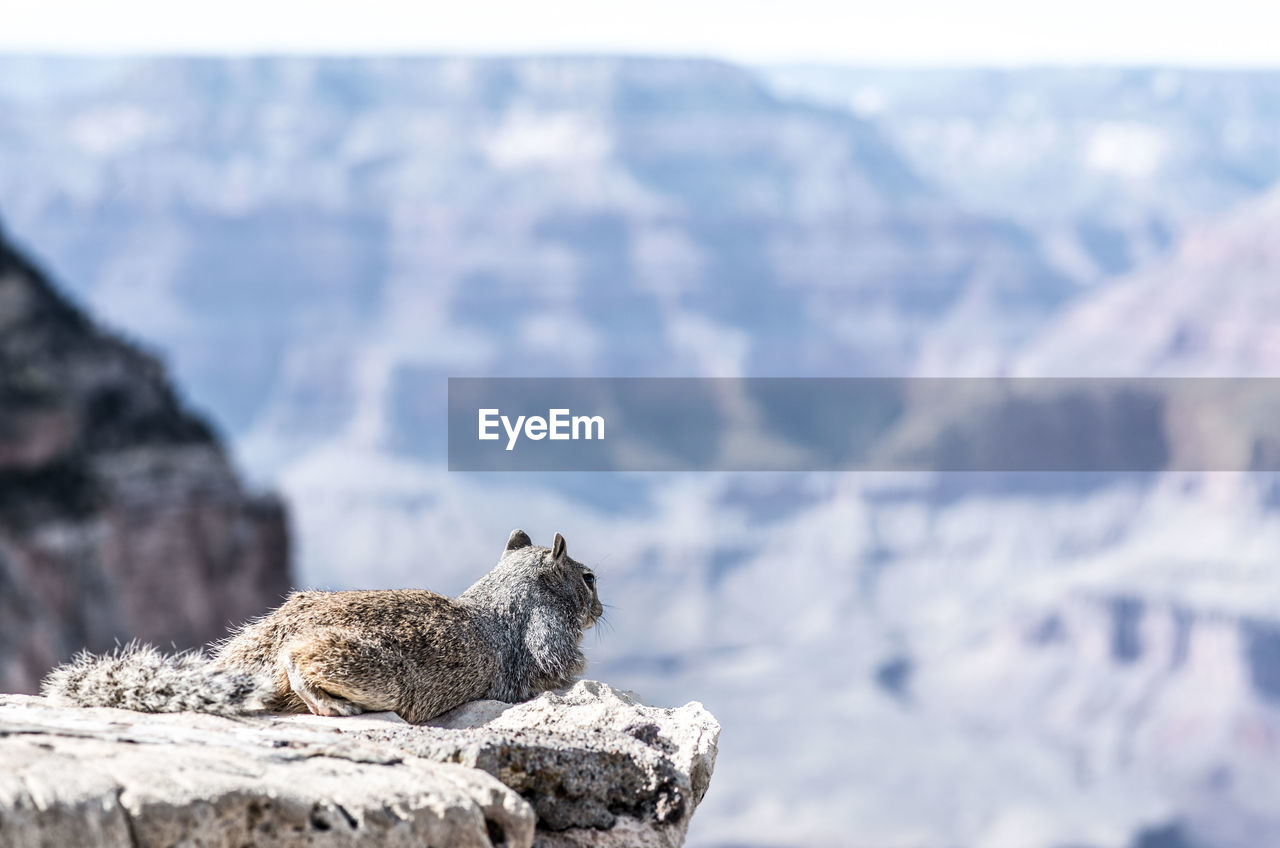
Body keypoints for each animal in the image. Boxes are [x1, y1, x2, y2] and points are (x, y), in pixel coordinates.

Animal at [38, 532, 599, 722]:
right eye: (589, 578)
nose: (599, 607)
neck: (501, 590)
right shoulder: (543, 647)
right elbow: (558, 667)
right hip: (382, 674)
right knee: (299, 662)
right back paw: (328, 704)